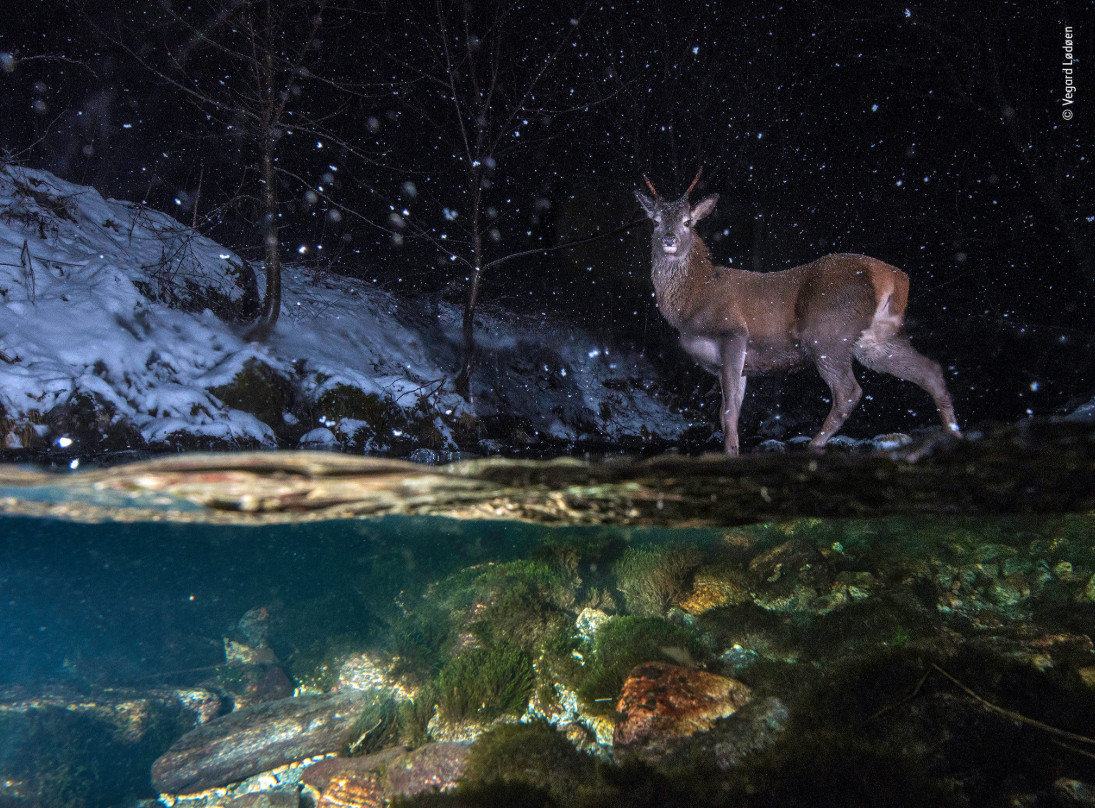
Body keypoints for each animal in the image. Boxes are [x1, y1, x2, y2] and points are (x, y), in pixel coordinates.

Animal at [635, 171, 959, 453]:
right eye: (655, 220)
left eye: (688, 221)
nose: (669, 238)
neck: (693, 299)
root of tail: (893, 277)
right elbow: (731, 411)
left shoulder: (733, 332)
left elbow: (728, 413)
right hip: (875, 339)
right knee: (931, 371)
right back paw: (953, 434)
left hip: (827, 333)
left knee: (849, 392)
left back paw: (814, 445)